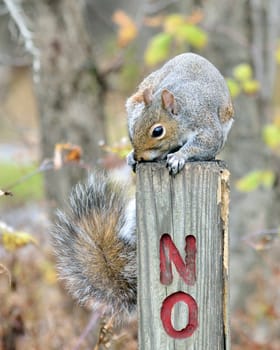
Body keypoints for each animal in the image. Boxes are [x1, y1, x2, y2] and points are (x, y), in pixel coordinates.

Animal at [51, 53, 233, 324]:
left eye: (157, 131)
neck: (181, 112)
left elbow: (200, 146)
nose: (138, 156)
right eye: (134, 128)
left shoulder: (207, 129)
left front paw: (178, 157)